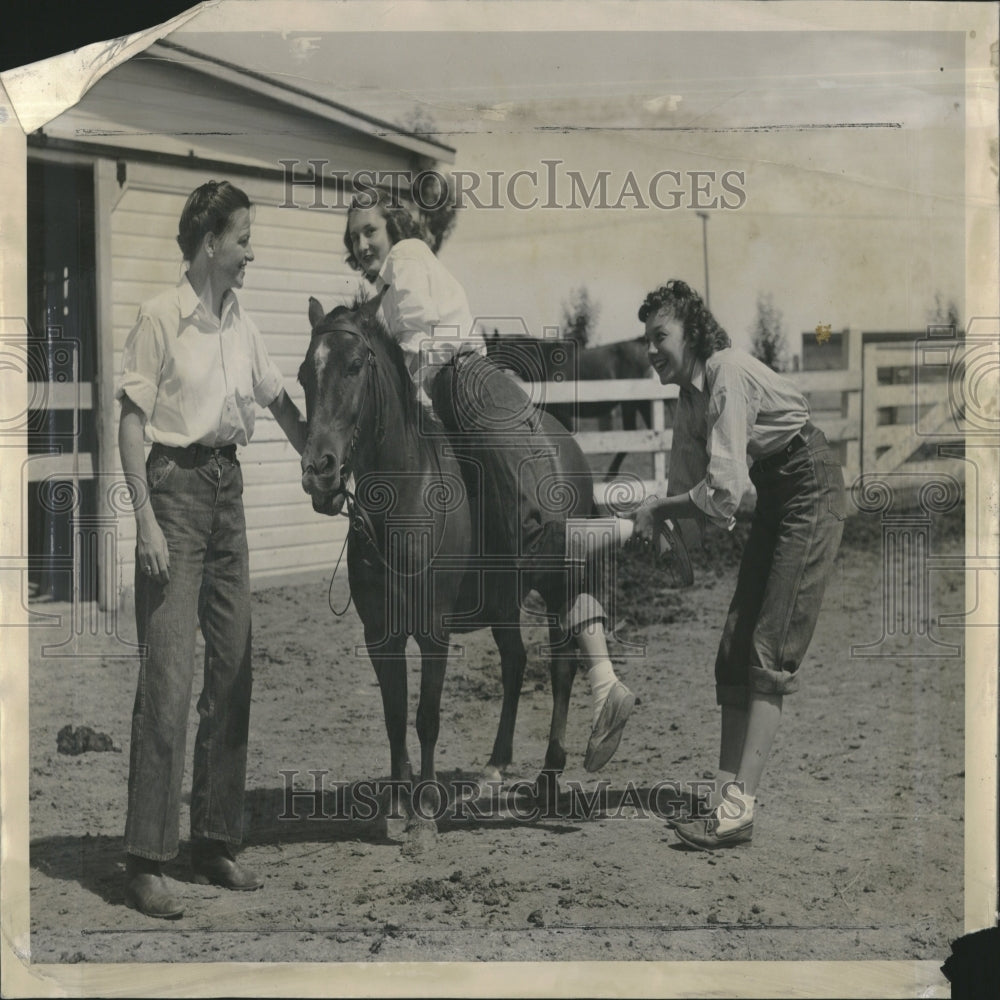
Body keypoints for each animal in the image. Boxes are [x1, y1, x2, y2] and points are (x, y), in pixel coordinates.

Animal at [296, 294, 604, 836]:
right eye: (302, 376)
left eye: (354, 366)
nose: (320, 472)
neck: (402, 500)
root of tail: (566, 444)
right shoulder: (380, 634)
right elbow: (394, 715)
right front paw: (396, 803)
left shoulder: (433, 632)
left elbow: (426, 716)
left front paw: (423, 810)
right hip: (504, 603)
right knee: (514, 662)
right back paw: (495, 767)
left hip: (558, 583)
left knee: (562, 667)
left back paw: (548, 776)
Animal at [482, 332, 652, 480]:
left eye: (492, 352)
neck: (548, 364)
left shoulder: (564, 415)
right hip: (640, 404)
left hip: (630, 404)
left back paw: (610, 474)